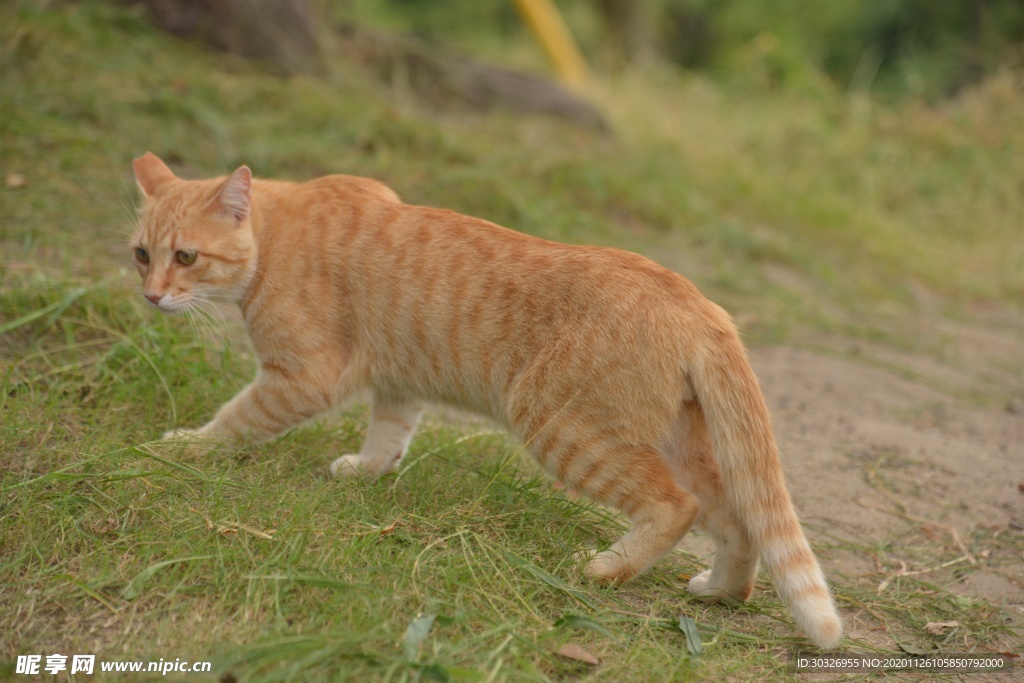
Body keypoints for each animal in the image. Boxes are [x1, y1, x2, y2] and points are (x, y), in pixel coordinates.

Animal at [132, 152, 843, 651]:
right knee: (740, 519)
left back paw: (605, 570)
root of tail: (698, 301)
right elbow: (388, 434)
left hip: (560, 426)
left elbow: (237, 418)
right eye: (141, 253)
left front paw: (185, 448)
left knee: (677, 506)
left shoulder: (303, 377)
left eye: (186, 256)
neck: (276, 235)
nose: (151, 295)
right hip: (683, 444)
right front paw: (366, 471)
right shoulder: (398, 380)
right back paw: (721, 592)